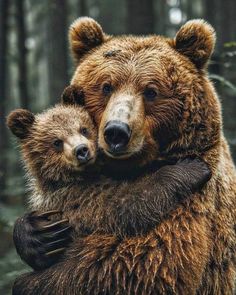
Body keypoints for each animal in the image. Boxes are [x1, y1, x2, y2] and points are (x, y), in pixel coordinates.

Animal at [12, 17, 236, 295]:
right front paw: (36, 234)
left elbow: (135, 265)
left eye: (151, 91)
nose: (116, 131)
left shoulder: (193, 210)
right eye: (106, 86)